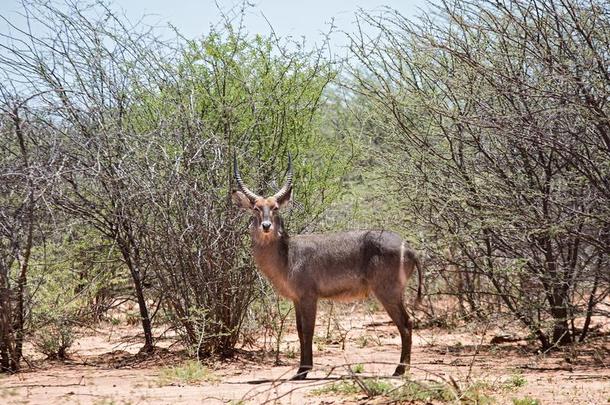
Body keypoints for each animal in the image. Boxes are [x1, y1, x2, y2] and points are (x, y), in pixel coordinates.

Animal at [230, 153, 420, 378]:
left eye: (275, 208)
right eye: (256, 208)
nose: (266, 226)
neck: (287, 254)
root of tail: (408, 247)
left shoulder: (309, 297)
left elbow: (308, 331)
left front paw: (303, 371)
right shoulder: (296, 299)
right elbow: (299, 330)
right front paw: (302, 369)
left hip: (387, 291)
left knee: (406, 323)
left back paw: (399, 370)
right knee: (407, 323)